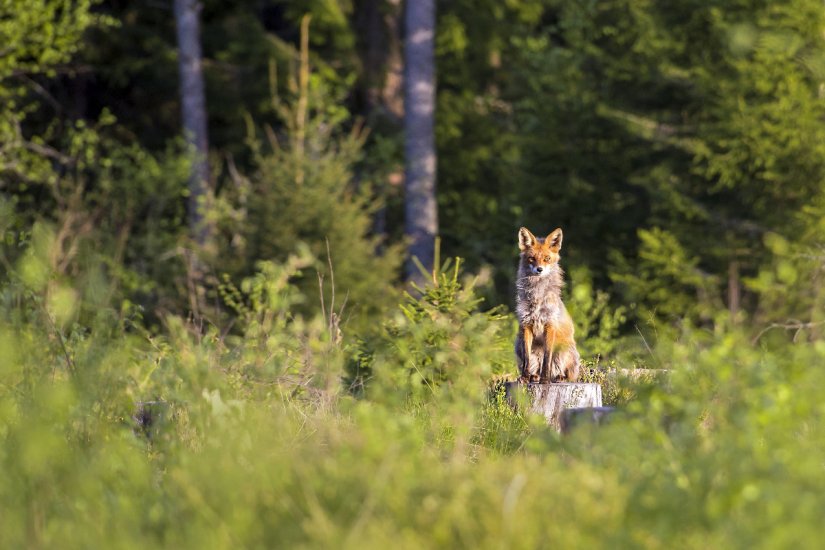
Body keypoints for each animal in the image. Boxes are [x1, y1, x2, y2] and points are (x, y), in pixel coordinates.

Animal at [516, 226, 580, 386]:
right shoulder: (526, 325)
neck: (537, 297)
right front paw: (525, 378)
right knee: (533, 365)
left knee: (566, 373)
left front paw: (545, 380)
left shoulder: (549, 325)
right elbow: (526, 359)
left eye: (547, 259)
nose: (539, 269)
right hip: (518, 343)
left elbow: (547, 359)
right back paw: (534, 376)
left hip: (564, 351)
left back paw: (558, 377)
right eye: (531, 258)